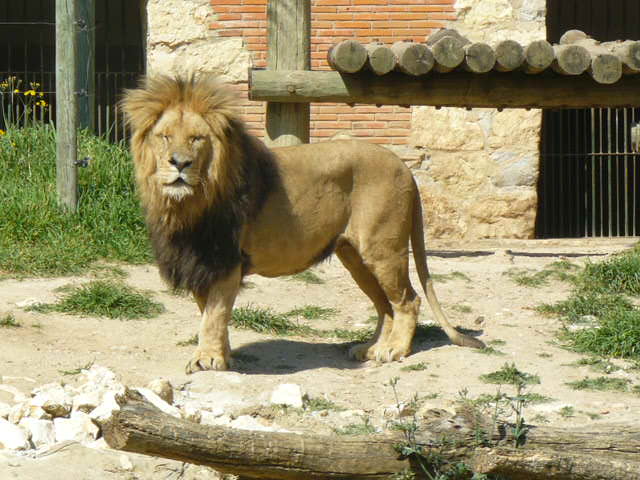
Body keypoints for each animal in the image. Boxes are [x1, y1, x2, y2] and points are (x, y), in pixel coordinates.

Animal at [122, 74, 484, 374]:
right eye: (164, 137)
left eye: (197, 139)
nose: (179, 163)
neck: (187, 204)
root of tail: (404, 166)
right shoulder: (200, 263)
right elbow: (211, 316)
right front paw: (224, 356)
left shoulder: (226, 262)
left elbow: (213, 316)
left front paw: (207, 360)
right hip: (354, 256)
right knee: (385, 306)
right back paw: (371, 348)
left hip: (383, 249)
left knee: (407, 300)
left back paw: (394, 350)